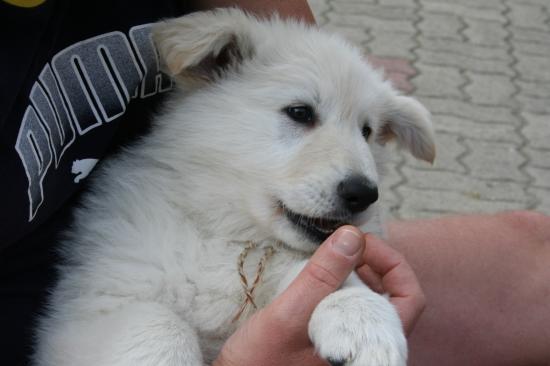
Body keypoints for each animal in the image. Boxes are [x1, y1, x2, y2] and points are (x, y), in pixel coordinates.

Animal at [35, 8, 440, 366]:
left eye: (367, 131)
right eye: (300, 112)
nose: (363, 193)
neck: (232, 234)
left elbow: (330, 276)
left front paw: (364, 321)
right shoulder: (84, 314)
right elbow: (158, 322)